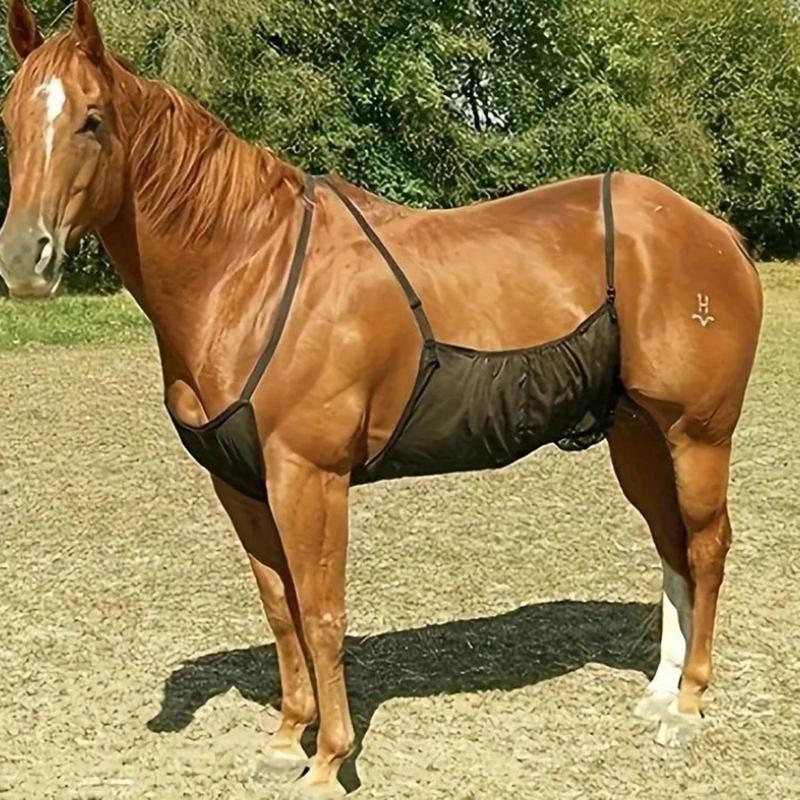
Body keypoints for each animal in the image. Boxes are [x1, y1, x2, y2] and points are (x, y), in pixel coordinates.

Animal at [0, 2, 763, 797]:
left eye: (91, 119)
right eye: (9, 120)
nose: (26, 259)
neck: (248, 270)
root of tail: (714, 231)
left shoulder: (309, 477)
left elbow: (322, 613)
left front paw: (329, 760)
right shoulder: (240, 484)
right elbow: (281, 610)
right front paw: (286, 739)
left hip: (697, 436)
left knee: (707, 548)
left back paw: (689, 705)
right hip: (637, 437)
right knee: (671, 547)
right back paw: (661, 692)